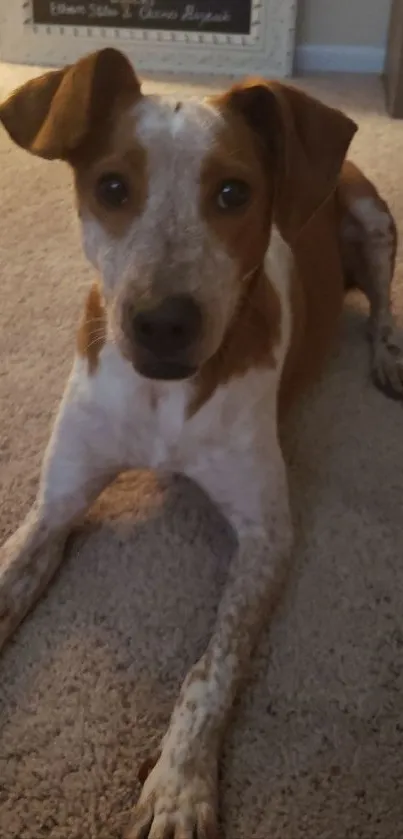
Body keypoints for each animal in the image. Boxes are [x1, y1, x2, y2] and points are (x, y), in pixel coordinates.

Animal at [0, 50, 402, 839]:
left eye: (232, 193)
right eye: (112, 187)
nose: (162, 323)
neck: (164, 399)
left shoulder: (266, 535)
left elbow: (210, 669)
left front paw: (179, 788)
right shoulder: (56, 505)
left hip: (377, 226)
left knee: (380, 310)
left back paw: (387, 357)